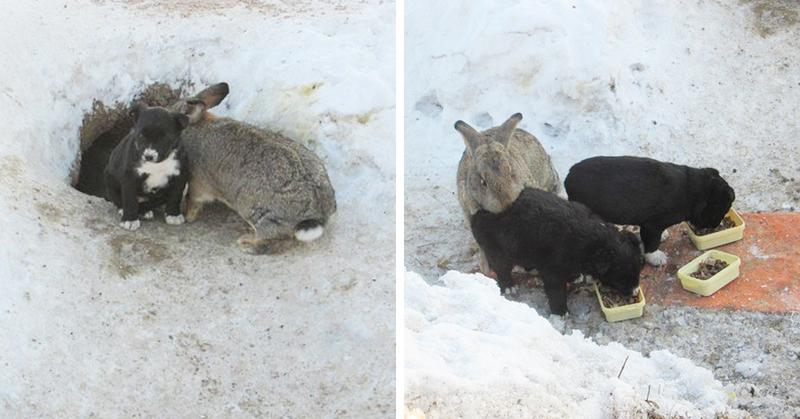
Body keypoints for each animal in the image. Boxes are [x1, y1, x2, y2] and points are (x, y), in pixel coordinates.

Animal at [169, 81, 334, 253]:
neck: (195, 126)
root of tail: (317, 214)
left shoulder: (197, 181)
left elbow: (193, 199)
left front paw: (188, 217)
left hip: (257, 212)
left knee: (272, 237)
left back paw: (246, 242)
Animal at [468, 187, 644, 316]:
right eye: (621, 280)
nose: (635, 292)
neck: (592, 240)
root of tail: (478, 212)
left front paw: (576, 277)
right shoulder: (552, 270)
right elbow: (556, 291)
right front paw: (561, 312)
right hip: (497, 248)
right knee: (501, 268)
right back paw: (509, 287)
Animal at [564, 156, 736, 268]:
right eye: (720, 210)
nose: (715, 226)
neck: (693, 191)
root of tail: (568, 177)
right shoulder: (652, 225)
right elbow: (652, 242)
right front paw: (656, 257)